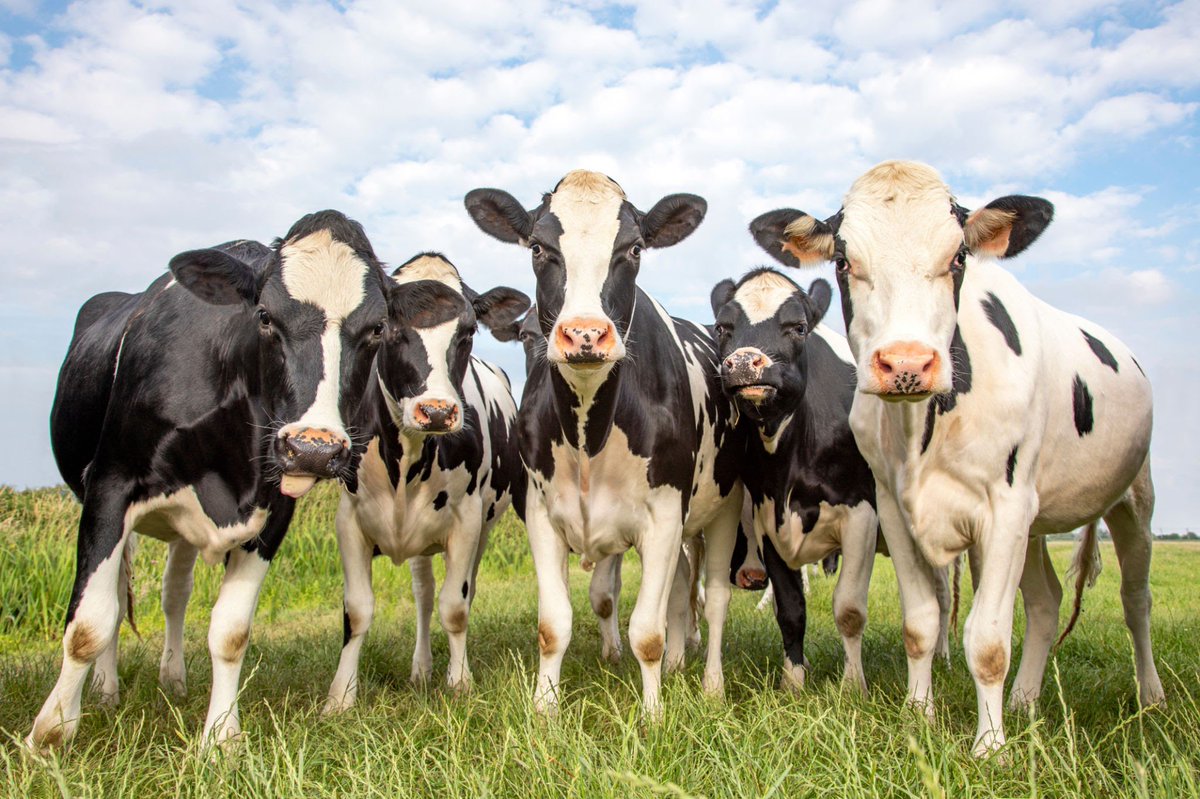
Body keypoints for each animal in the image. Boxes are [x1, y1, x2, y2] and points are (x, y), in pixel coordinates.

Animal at [30, 209, 388, 748]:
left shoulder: (273, 510)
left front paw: (220, 738)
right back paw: (107, 689)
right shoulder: (109, 484)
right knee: (117, 593)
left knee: (173, 593)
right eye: (264, 316)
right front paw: (50, 733)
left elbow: (231, 630)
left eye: (376, 329)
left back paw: (173, 679)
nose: (313, 448)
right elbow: (89, 622)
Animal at [321, 251, 528, 705]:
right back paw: (420, 668)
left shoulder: (467, 519)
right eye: (384, 328)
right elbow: (357, 609)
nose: (435, 412)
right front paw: (340, 696)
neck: (406, 463)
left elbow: (456, 605)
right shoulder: (349, 519)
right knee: (423, 596)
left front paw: (460, 681)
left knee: (458, 590)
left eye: (468, 331)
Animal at [463, 169, 744, 715]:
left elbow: (648, 632)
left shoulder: (665, 516)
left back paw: (712, 684)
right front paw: (545, 710)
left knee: (715, 597)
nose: (586, 334)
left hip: (724, 506)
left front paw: (654, 715)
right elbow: (554, 625)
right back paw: (678, 663)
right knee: (682, 586)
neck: (588, 434)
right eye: (537, 247)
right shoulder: (541, 514)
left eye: (633, 248)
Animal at [748, 160, 1161, 753]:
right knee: (1045, 602)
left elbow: (987, 640)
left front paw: (990, 747)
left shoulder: (1004, 509)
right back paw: (1025, 699)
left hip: (1133, 501)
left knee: (1135, 598)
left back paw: (1149, 695)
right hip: (1035, 525)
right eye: (845, 261)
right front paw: (917, 716)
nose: (906, 363)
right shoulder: (894, 508)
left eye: (959, 257)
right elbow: (919, 622)